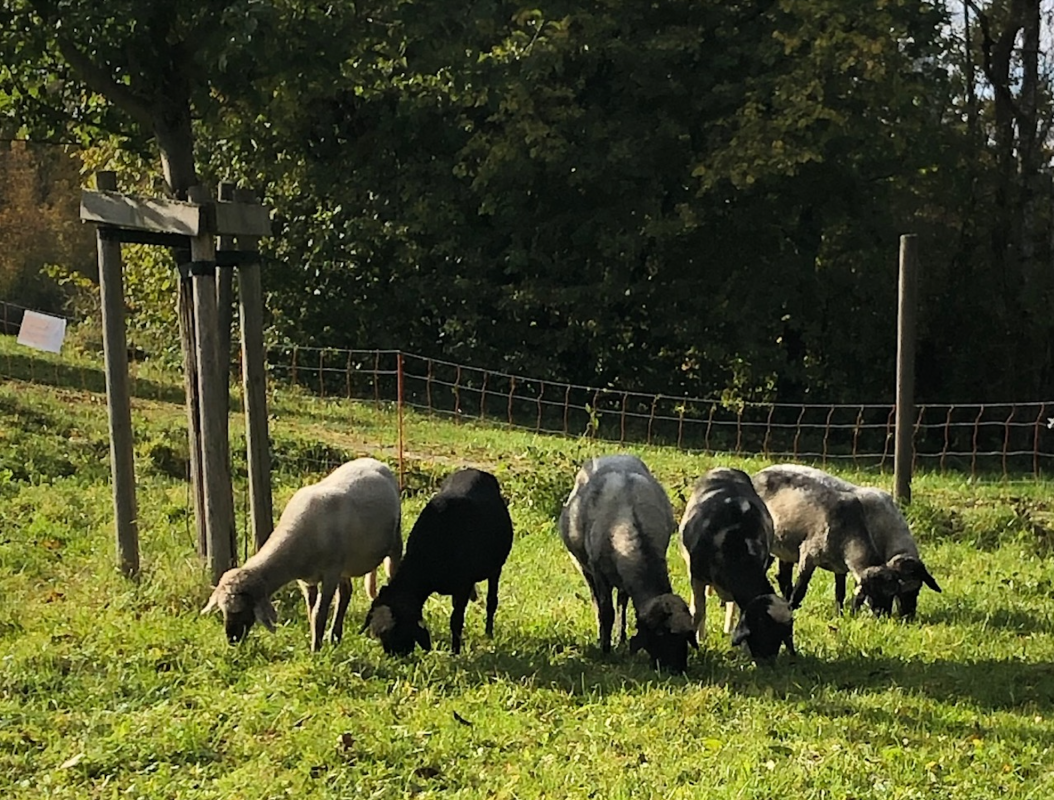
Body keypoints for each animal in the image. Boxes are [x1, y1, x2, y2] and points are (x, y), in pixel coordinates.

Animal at [201, 457, 402, 651]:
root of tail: (376, 462)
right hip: (344, 562)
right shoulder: (306, 580)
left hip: (394, 542)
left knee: (391, 574)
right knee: (345, 593)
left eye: (241, 610)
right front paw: (315, 640)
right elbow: (311, 610)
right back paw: (335, 636)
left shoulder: (330, 573)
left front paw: (316, 650)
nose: (232, 640)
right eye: (223, 609)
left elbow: (319, 612)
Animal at [362, 468, 513, 656]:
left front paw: (455, 652)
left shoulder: (462, 585)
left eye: (397, 630)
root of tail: (475, 470)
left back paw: (488, 633)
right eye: (379, 634)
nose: (396, 656)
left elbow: (456, 620)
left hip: (496, 568)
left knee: (492, 600)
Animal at [559, 454, 697, 673]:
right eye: (660, 633)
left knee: (622, 602)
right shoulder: (598, 573)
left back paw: (621, 637)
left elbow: (620, 606)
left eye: (686, 636)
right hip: (584, 567)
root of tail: (612, 455)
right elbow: (606, 611)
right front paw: (605, 649)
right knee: (596, 600)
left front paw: (618, 640)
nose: (677, 670)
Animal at [678, 467, 795, 662]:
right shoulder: (697, 576)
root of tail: (725, 468)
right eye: (763, 628)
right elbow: (698, 611)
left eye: (782, 634)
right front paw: (694, 641)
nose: (767, 662)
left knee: (731, 604)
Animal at [757, 465, 941, 618]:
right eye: (904, 591)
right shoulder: (810, 555)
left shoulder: (842, 567)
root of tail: (761, 472)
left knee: (782, 575)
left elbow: (842, 592)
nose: (908, 616)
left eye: (918, 589)